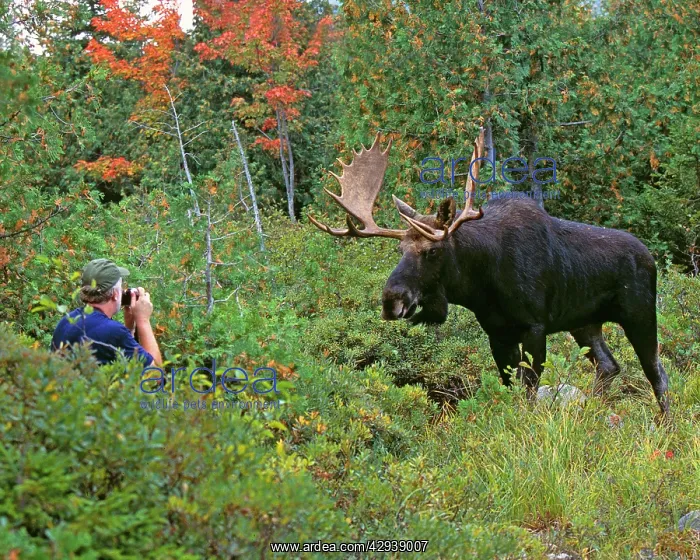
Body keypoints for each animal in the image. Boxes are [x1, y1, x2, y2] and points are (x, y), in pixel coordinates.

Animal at [308, 129, 670, 416]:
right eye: (400, 251)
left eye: (433, 251)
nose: (391, 300)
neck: (483, 285)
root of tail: (651, 258)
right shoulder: (498, 333)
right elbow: (511, 387)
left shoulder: (535, 326)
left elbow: (529, 391)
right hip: (585, 323)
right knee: (609, 366)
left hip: (639, 314)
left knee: (657, 373)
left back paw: (665, 425)